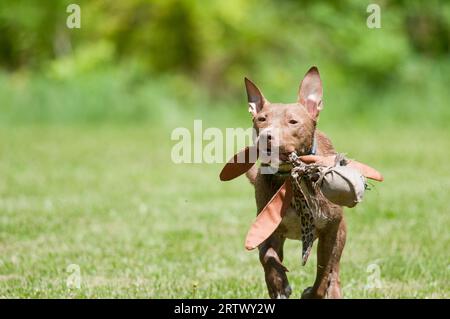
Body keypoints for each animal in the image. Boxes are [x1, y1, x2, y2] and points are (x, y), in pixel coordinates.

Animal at [243, 67, 344, 300]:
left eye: (293, 122)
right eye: (261, 119)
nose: (266, 136)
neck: (290, 176)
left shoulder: (330, 230)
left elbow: (324, 270)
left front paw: (313, 292)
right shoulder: (267, 226)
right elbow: (267, 257)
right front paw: (278, 284)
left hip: (341, 231)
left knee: (334, 268)